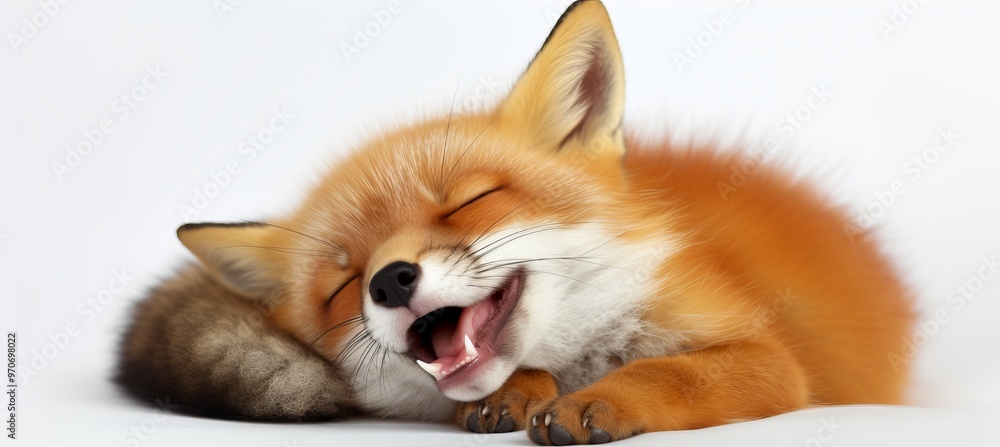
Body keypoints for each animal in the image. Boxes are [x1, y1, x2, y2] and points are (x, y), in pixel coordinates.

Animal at [116, 1, 915, 444]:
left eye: (466, 203)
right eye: (343, 282)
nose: (391, 279)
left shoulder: (769, 356)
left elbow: (673, 371)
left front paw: (604, 399)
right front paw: (514, 392)